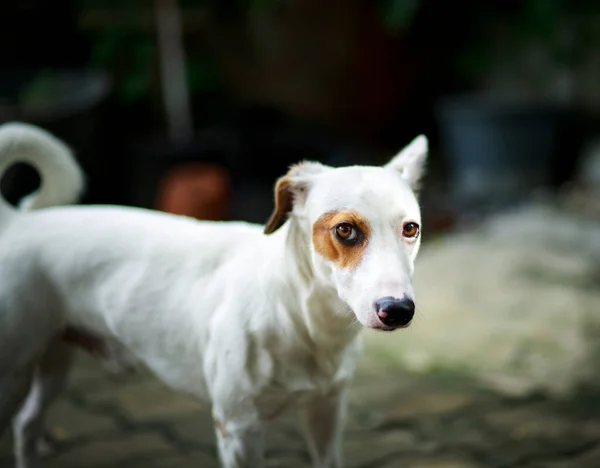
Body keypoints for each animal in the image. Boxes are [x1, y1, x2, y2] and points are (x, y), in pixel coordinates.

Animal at [0, 122, 426, 466]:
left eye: (411, 228)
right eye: (344, 230)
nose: (398, 310)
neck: (300, 317)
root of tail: (17, 222)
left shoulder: (327, 411)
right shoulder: (238, 430)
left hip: (54, 359)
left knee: (25, 424)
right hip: (14, 369)